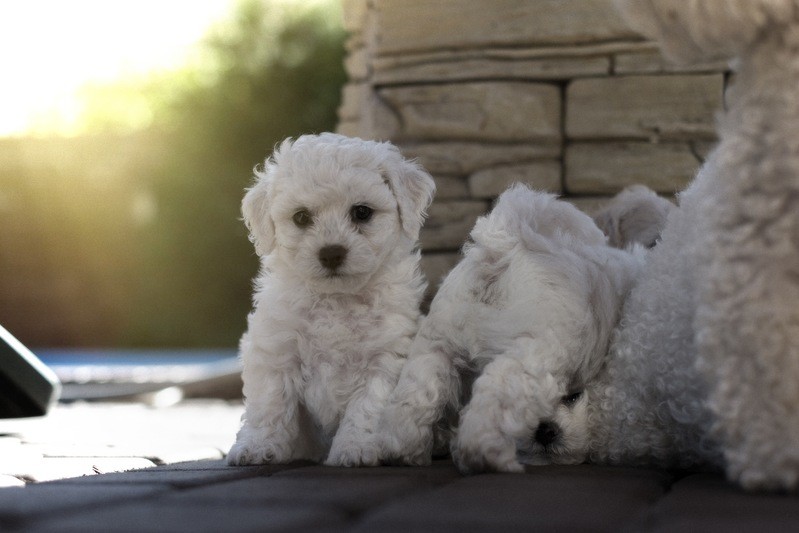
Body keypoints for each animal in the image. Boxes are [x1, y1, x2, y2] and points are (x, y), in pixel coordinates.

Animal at [225, 132, 438, 466]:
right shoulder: (277, 349)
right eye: (301, 217)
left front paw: (356, 449)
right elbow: (270, 404)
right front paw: (257, 447)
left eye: (362, 212)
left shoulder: (386, 358)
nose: (331, 253)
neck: (336, 300)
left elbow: (367, 407)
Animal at [378, 184, 648, 474]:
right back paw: (486, 454)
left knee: (417, 393)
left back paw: (401, 450)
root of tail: (503, 252)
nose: (545, 431)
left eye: (573, 397)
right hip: (536, 351)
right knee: (495, 397)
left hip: (438, 340)